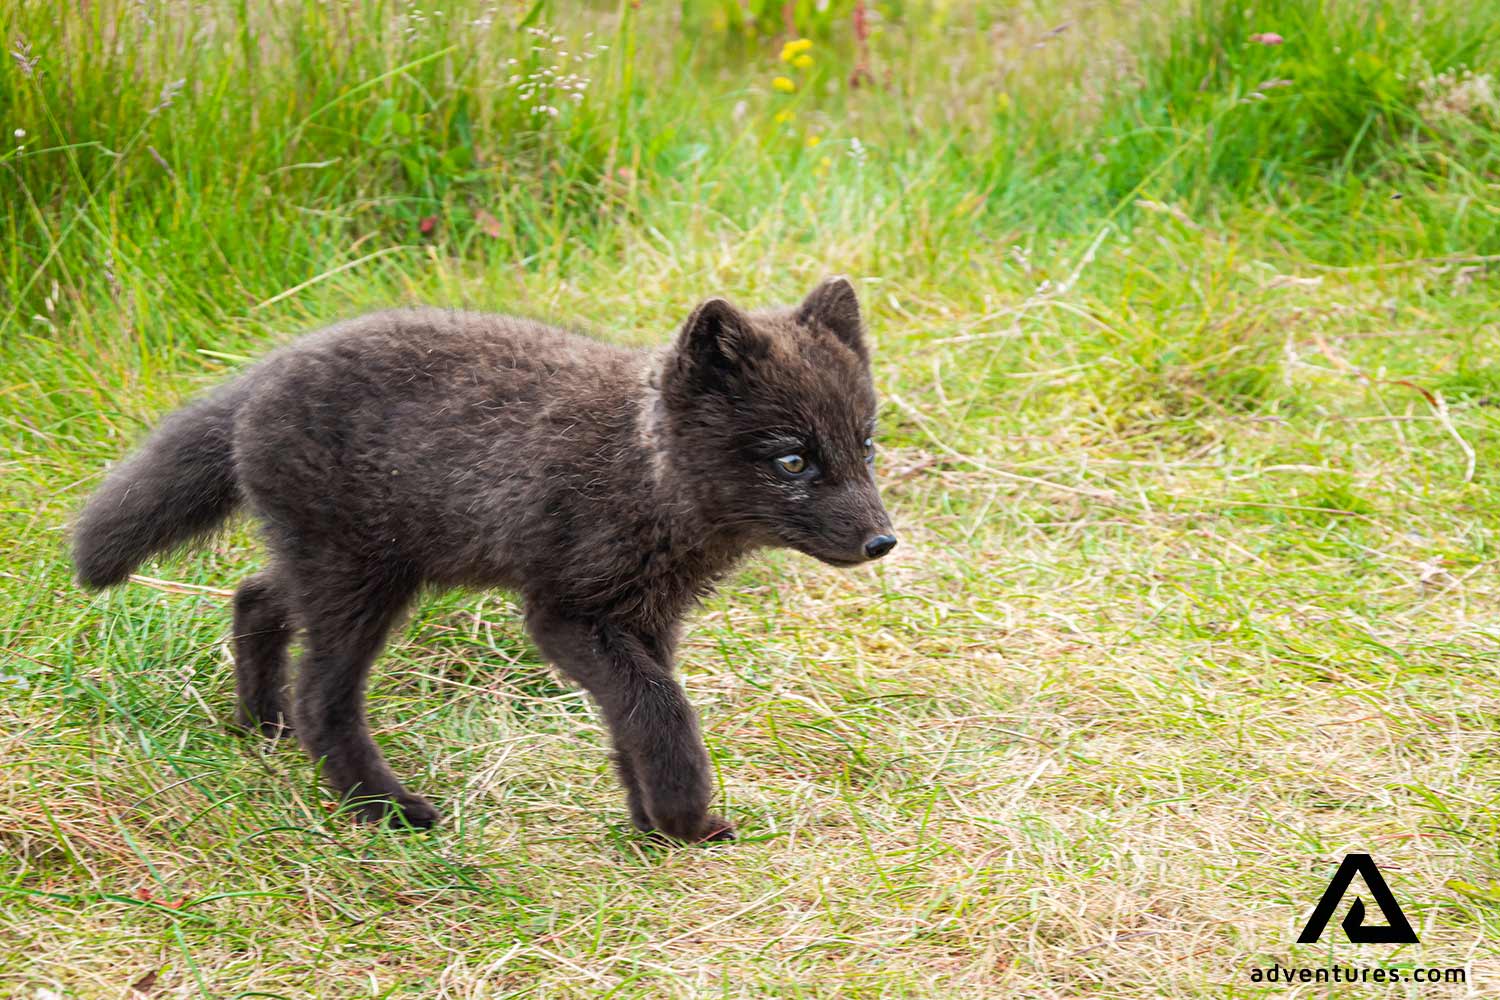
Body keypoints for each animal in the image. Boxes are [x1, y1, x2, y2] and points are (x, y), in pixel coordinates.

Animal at [72, 277, 896, 841]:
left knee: (253, 597)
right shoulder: (565, 615)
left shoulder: (647, 623)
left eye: (864, 447)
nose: (882, 542)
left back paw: (259, 726)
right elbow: (660, 708)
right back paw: (387, 808)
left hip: (345, 566)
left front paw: (652, 820)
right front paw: (685, 819)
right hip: (359, 582)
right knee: (320, 698)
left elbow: (638, 713)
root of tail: (260, 376)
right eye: (792, 461)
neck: (645, 471)